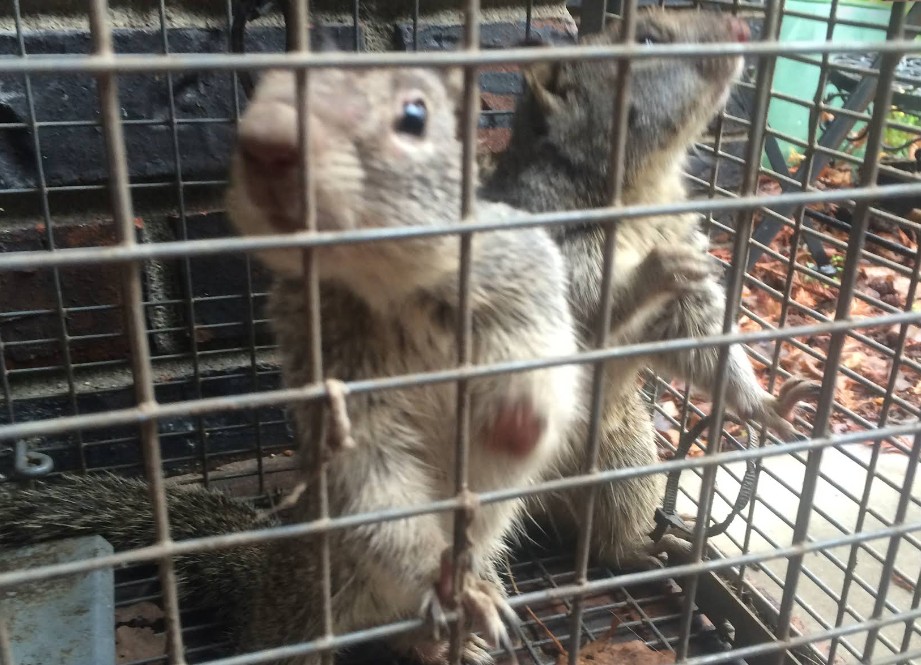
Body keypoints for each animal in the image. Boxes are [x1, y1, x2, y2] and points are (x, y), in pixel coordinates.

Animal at [480, 7, 820, 566]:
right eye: (645, 40)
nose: (743, 29)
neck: (642, 188)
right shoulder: (547, 251)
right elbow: (586, 307)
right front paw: (654, 270)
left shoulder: (684, 290)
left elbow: (703, 343)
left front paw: (766, 406)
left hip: (626, 464)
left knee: (606, 540)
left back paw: (651, 547)